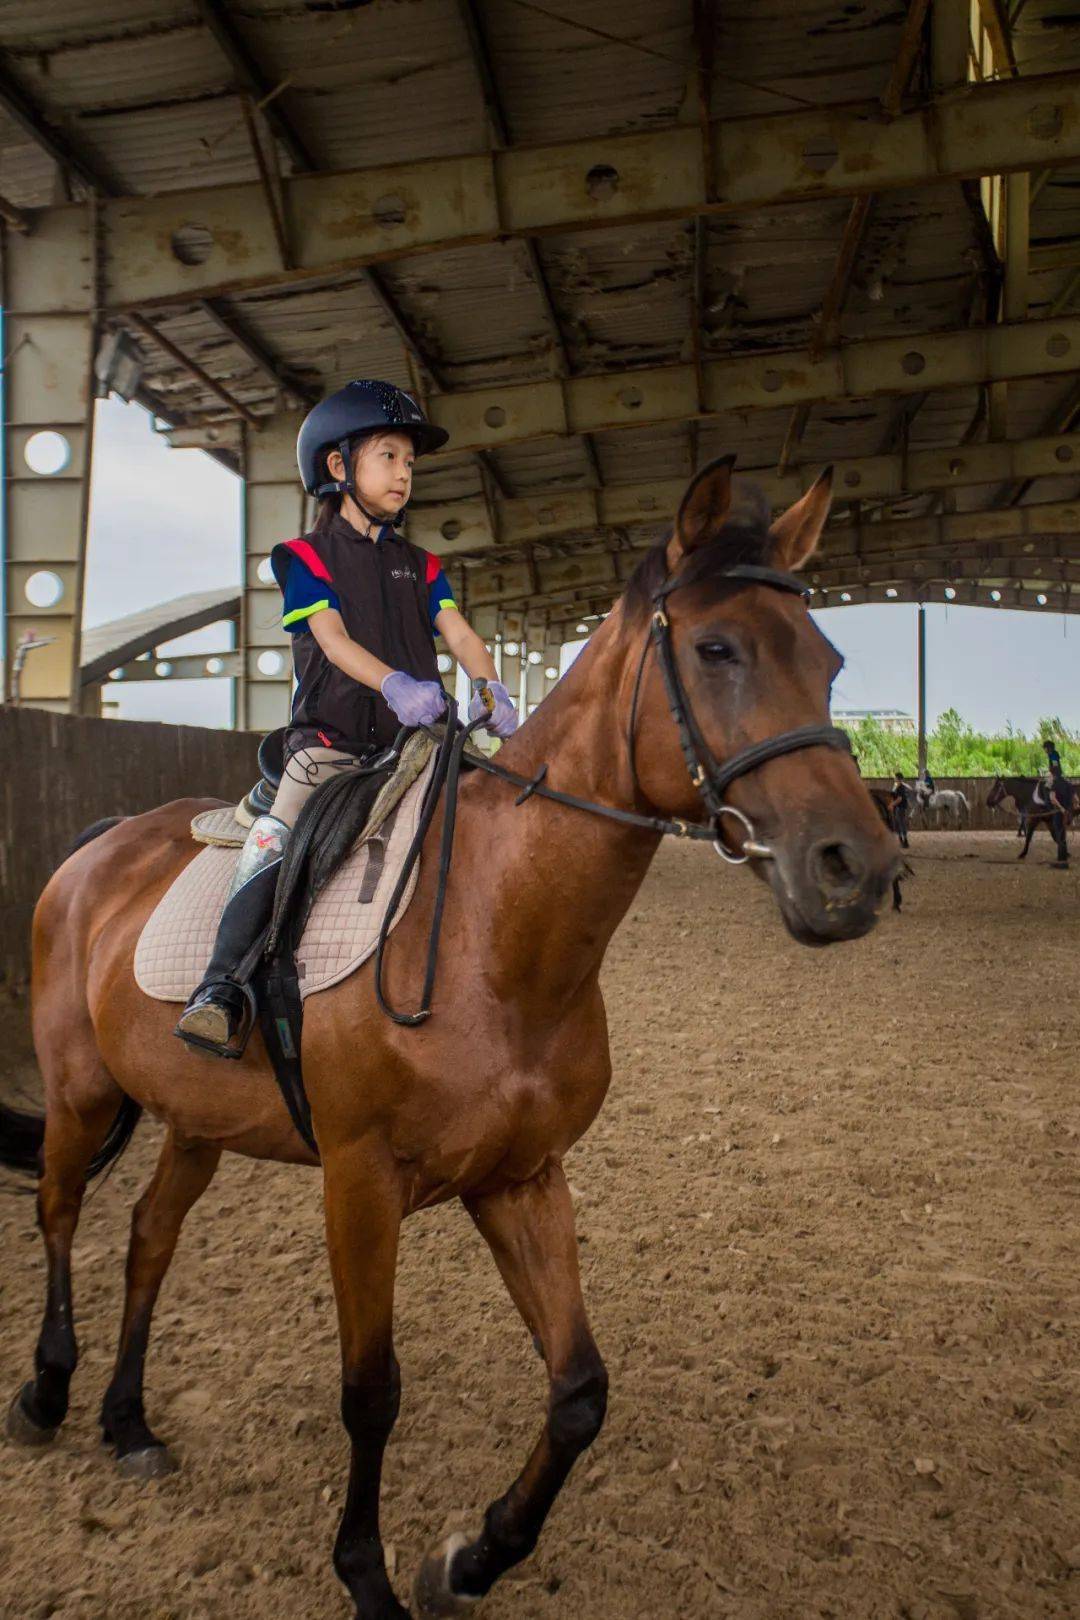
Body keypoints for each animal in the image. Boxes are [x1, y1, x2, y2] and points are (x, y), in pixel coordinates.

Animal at [2, 456, 893, 1620]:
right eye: (716, 649)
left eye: (829, 661)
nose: (855, 873)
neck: (491, 931)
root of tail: (98, 849)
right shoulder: (360, 1183)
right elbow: (371, 1391)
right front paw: (366, 1573)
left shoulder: (521, 1178)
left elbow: (580, 1389)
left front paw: (471, 1557)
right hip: (81, 1091)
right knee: (63, 1213)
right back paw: (47, 1393)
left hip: (196, 1119)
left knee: (151, 1233)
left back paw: (128, 1422)